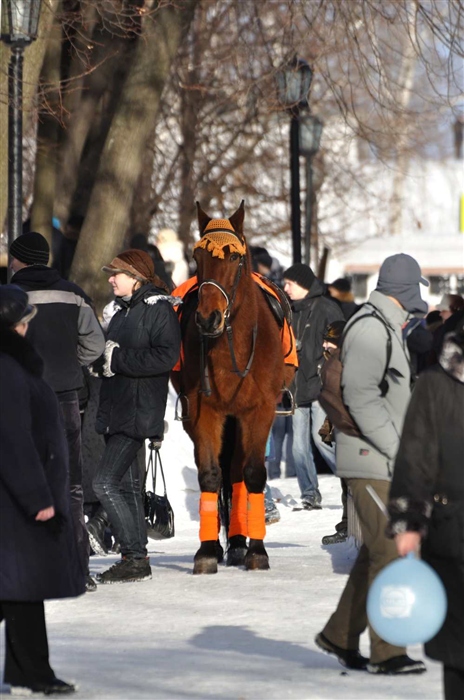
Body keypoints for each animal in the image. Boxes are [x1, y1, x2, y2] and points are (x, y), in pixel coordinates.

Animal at [172, 202, 296, 576]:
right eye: (197, 256)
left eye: (234, 258)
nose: (207, 317)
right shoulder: (203, 412)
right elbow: (210, 475)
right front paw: (206, 550)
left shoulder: (259, 410)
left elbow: (252, 474)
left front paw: (256, 549)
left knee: (239, 472)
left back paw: (241, 544)